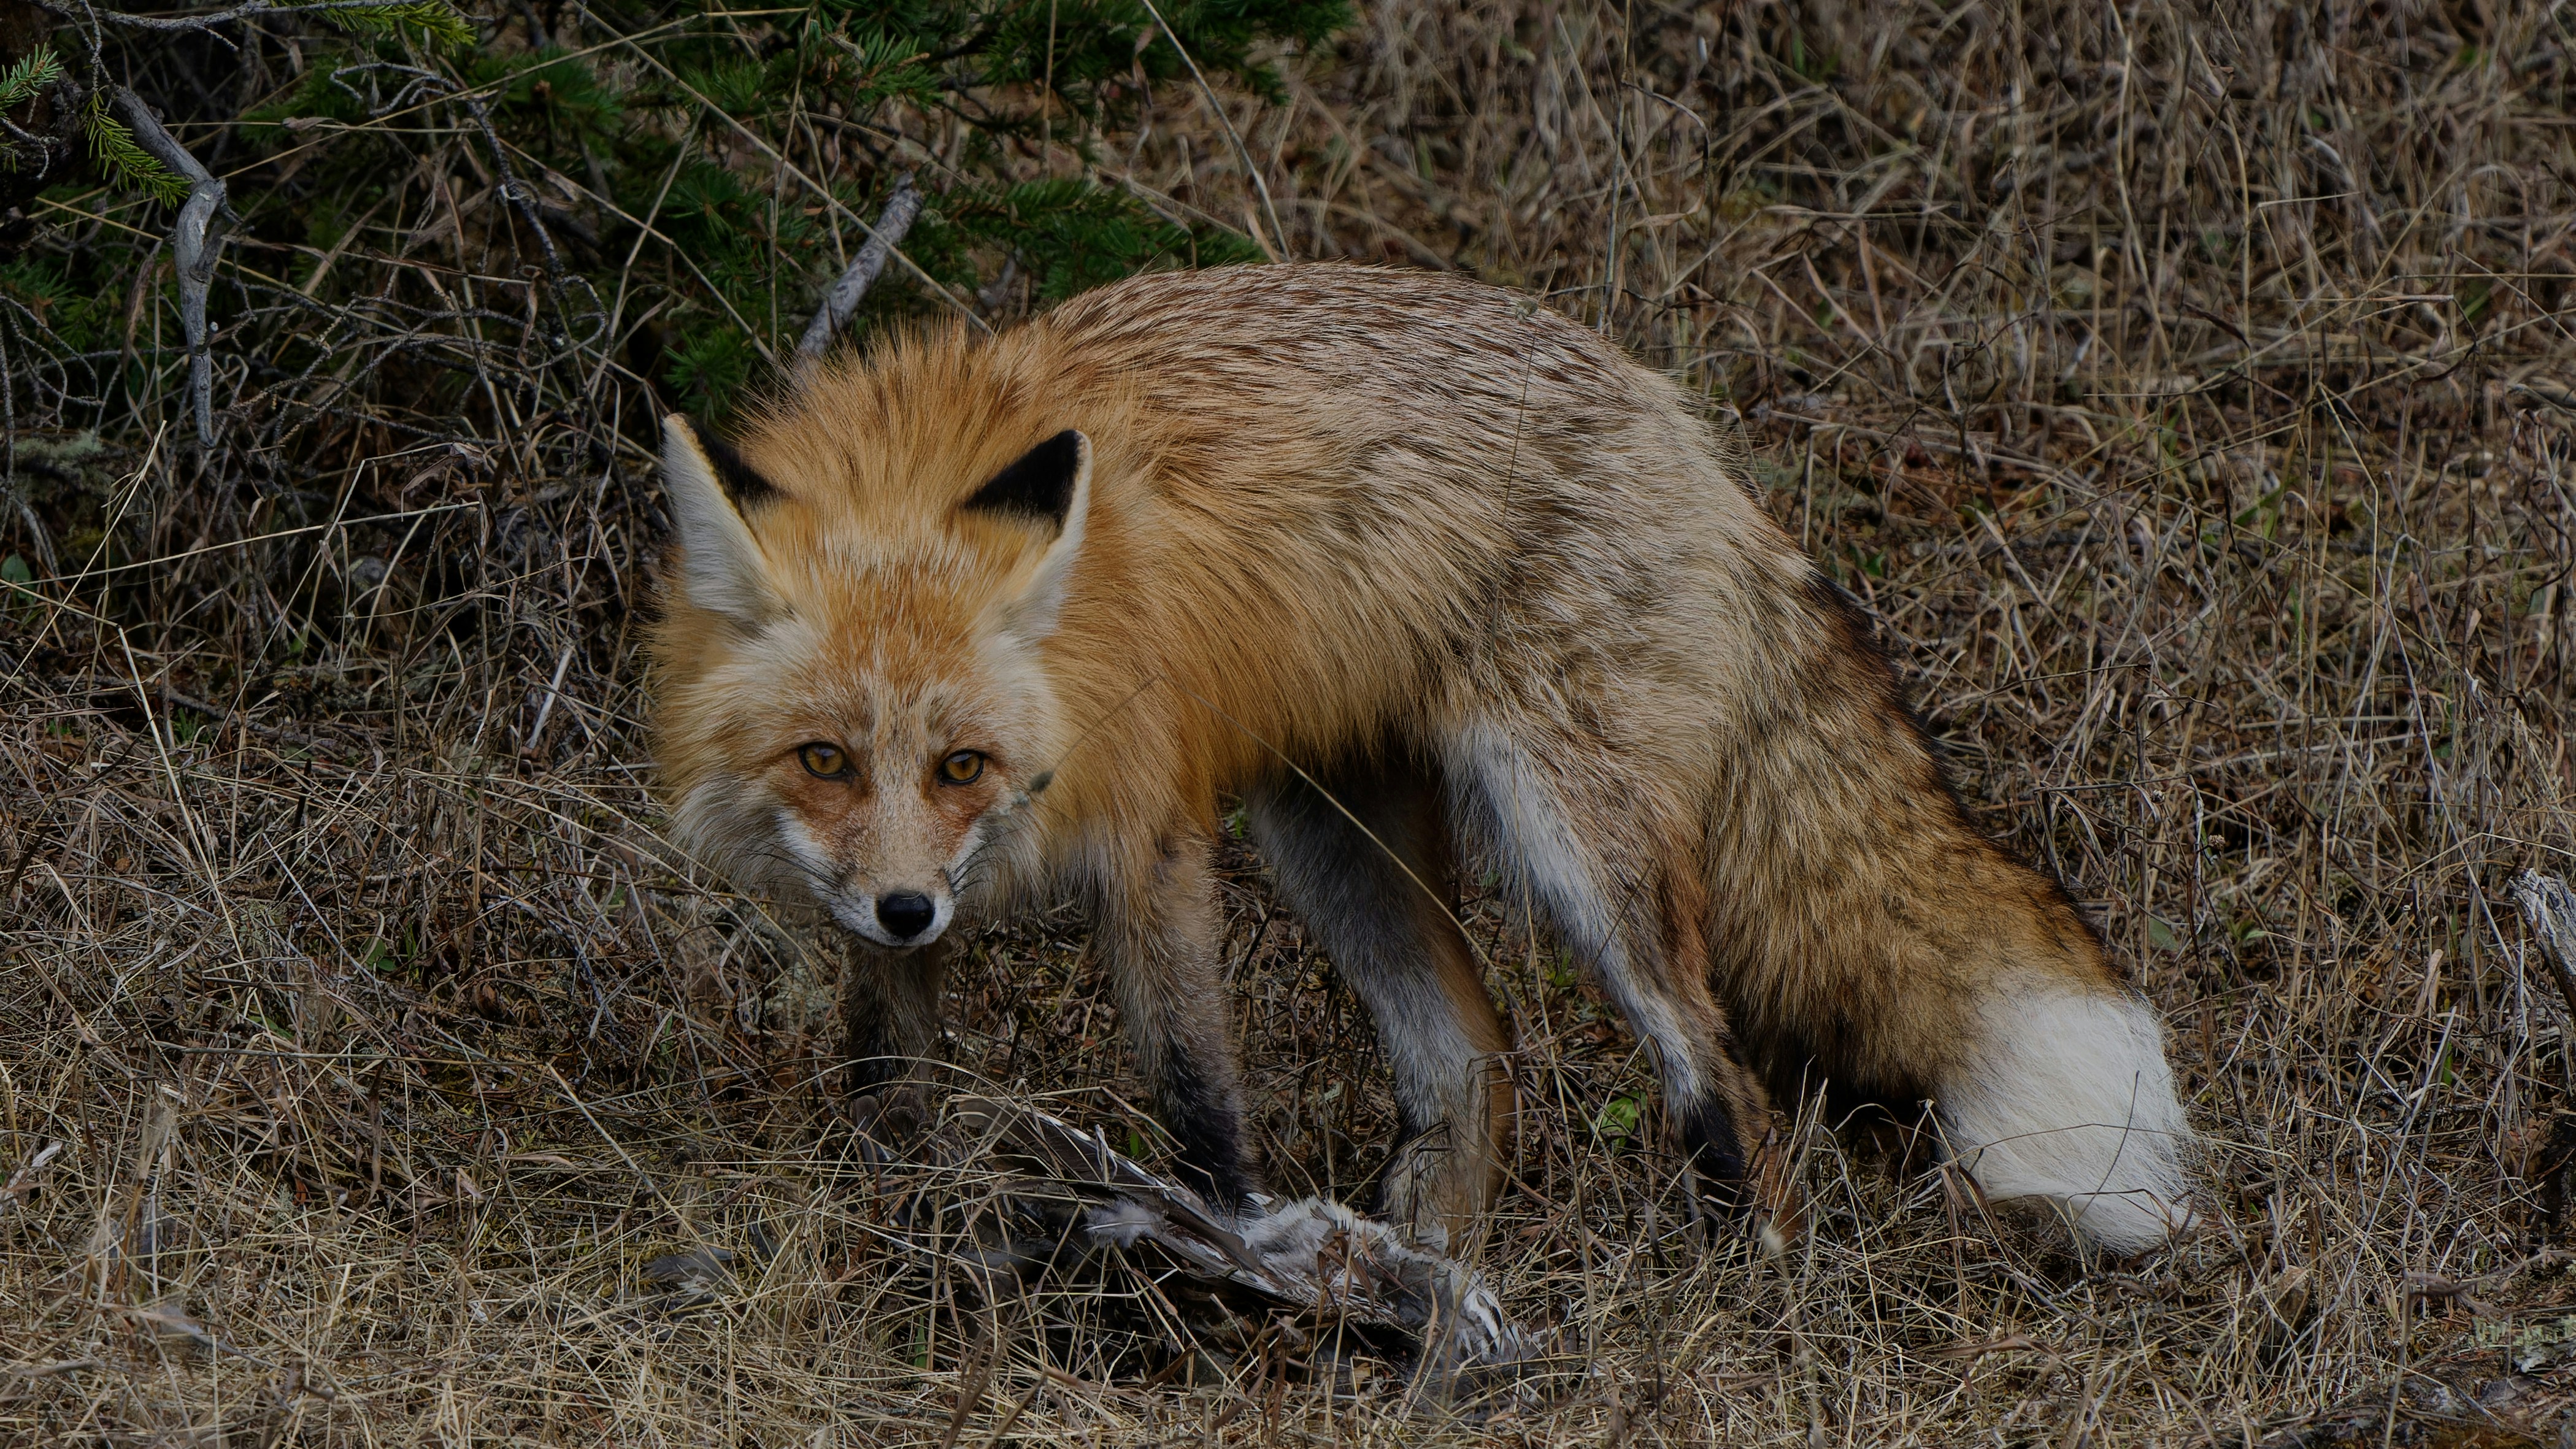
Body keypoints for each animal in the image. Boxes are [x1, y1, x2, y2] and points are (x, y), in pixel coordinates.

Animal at [647, 262, 2197, 1254]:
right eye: (824, 758)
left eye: (962, 761)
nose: (910, 905)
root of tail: (1678, 427)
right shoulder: (885, 909)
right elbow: (887, 1083)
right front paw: (892, 1231)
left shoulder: (1151, 835)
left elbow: (1198, 1094)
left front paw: (1231, 1243)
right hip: (1332, 836)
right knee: (1474, 1051)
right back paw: (1431, 1295)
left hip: (1577, 848)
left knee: (1729, 1094)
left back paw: (1738, 1289)